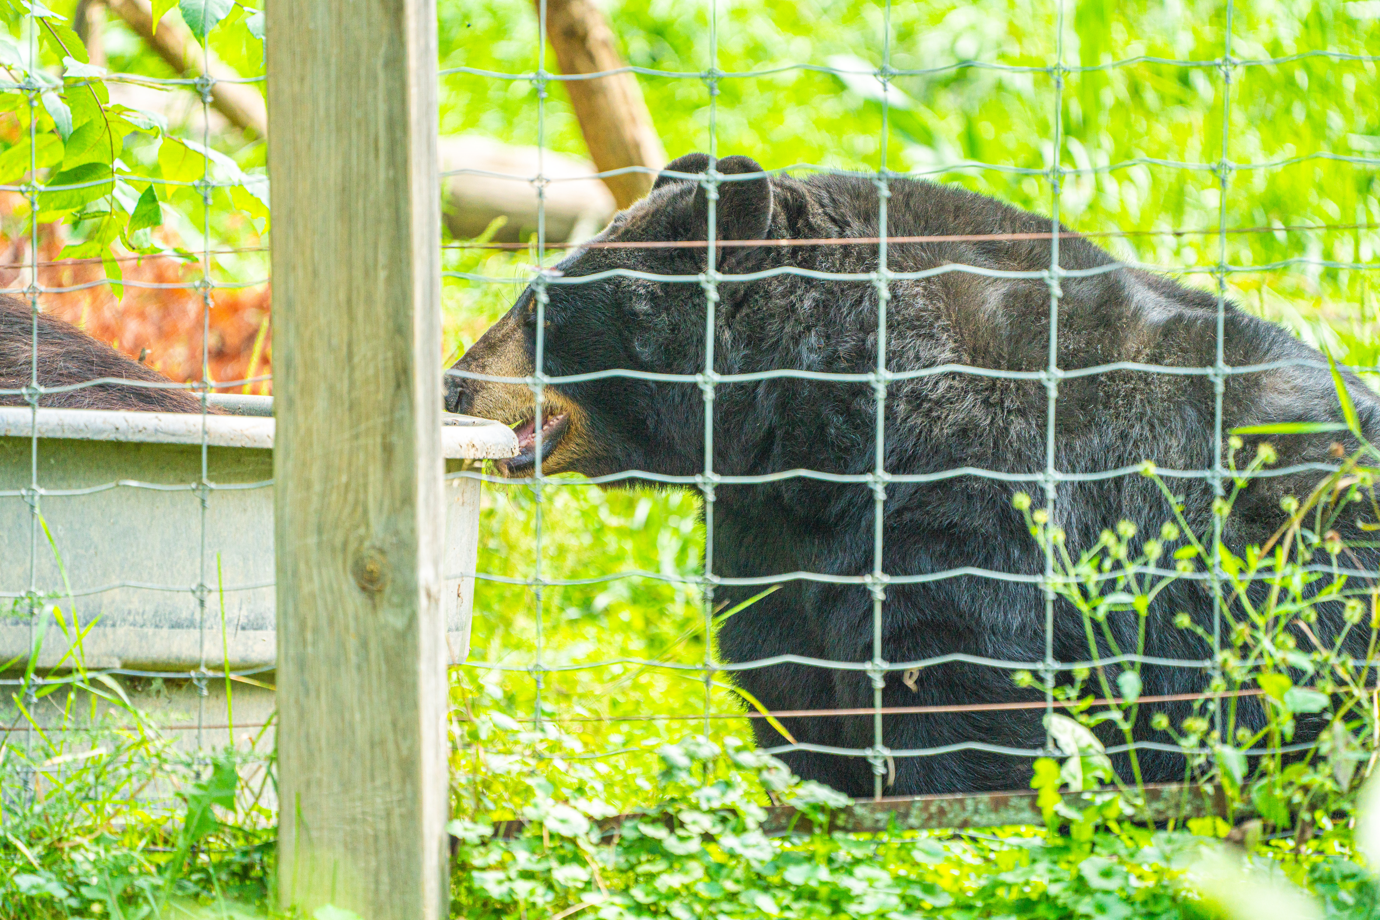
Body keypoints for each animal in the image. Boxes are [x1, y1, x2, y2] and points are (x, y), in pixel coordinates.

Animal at [445, 152, 1380, 798]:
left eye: (537, 306)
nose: (454, 380)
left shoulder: (975, 507)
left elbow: (957, 702)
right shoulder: (776, 536)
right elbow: (793, 679)